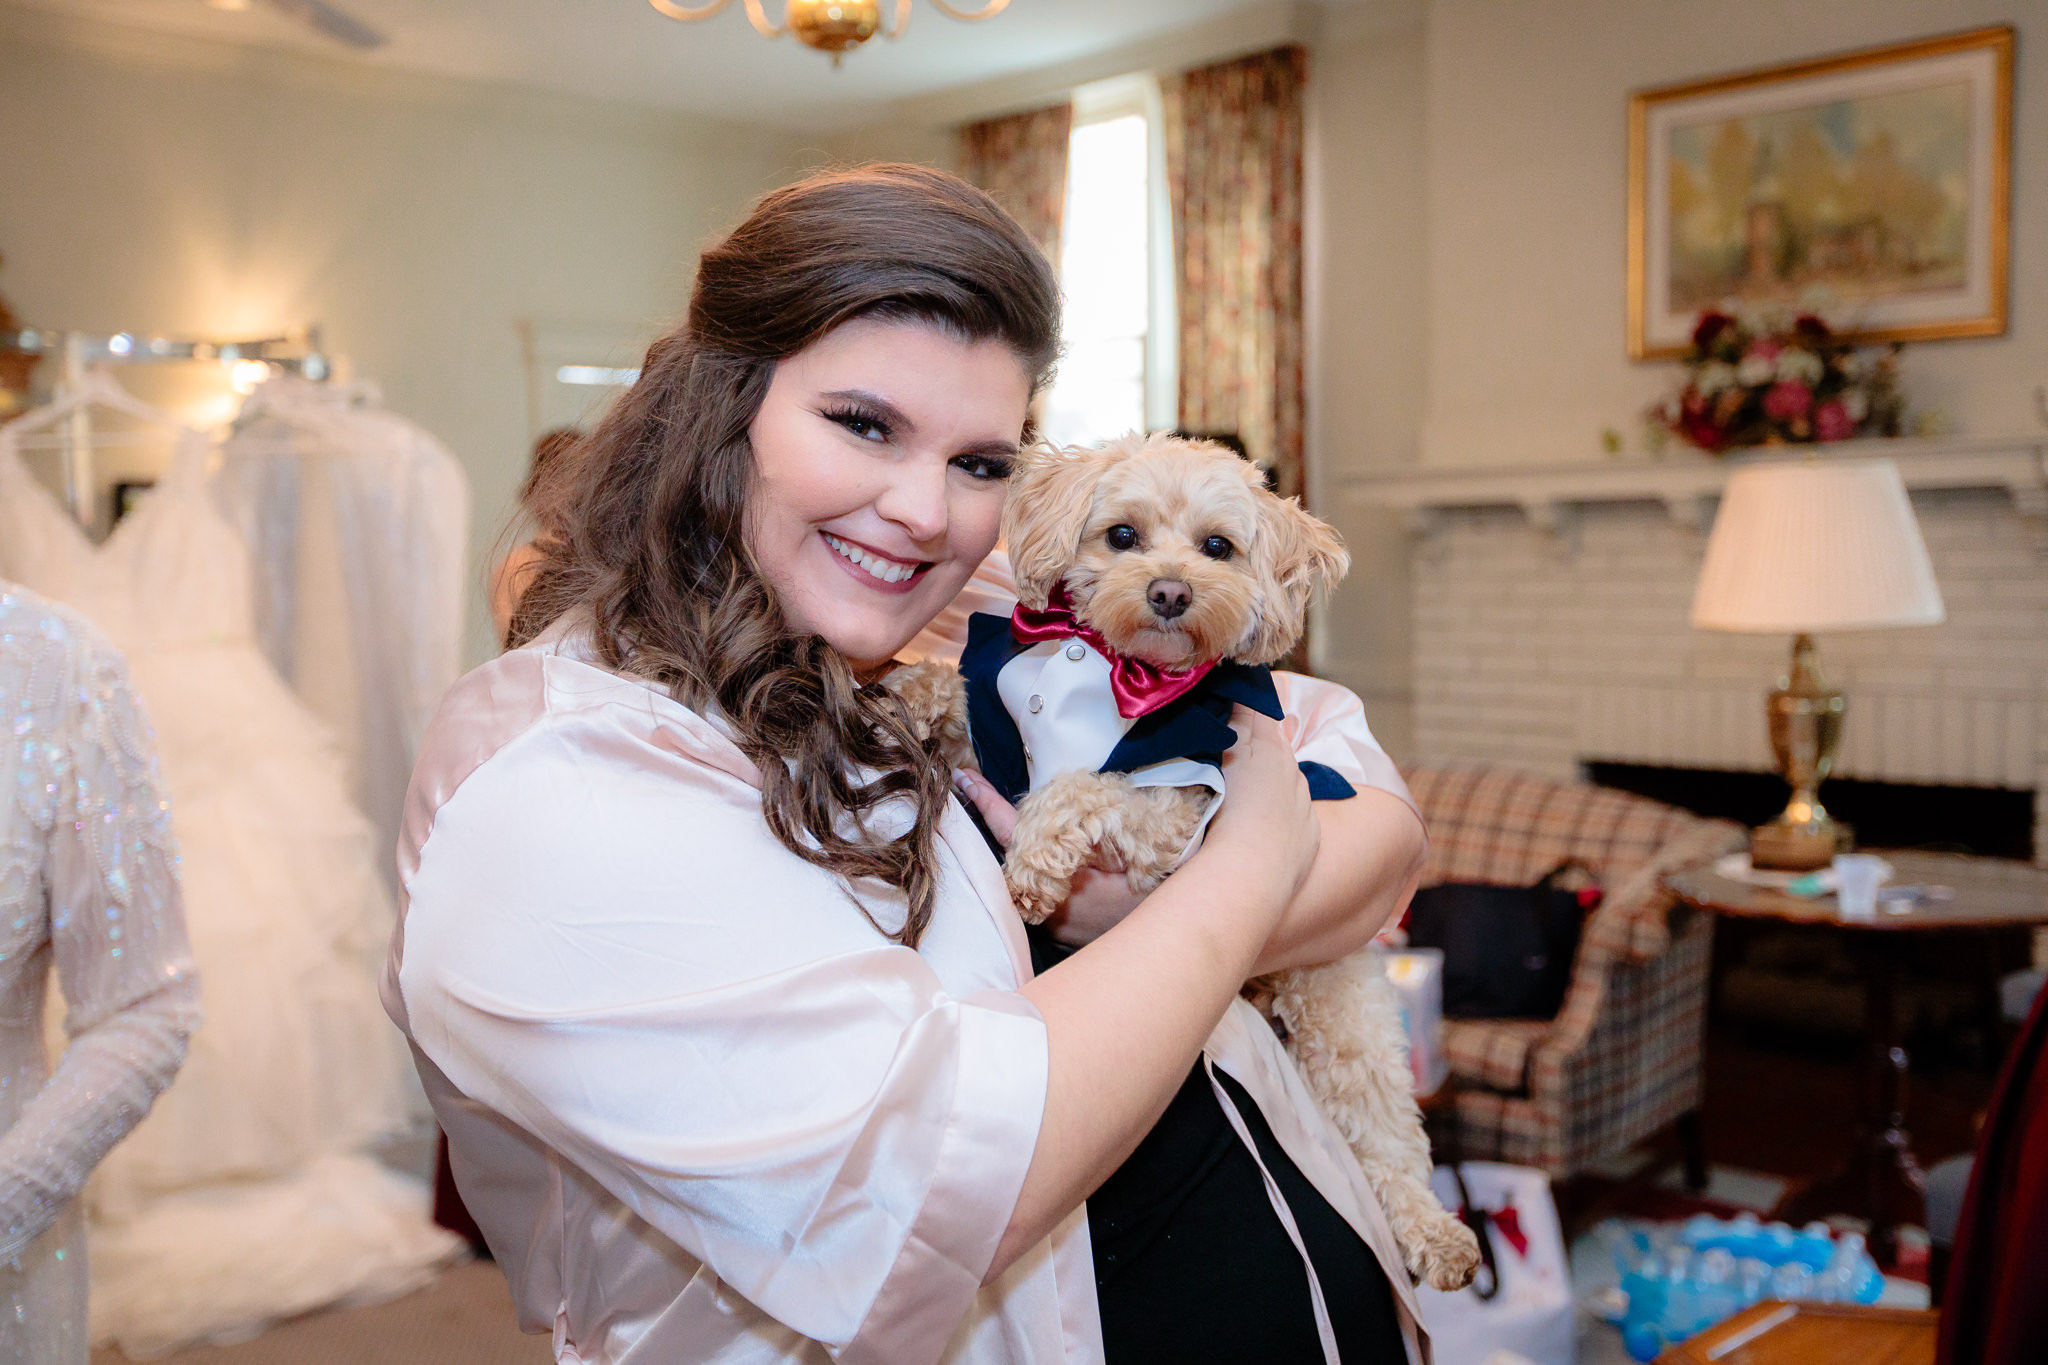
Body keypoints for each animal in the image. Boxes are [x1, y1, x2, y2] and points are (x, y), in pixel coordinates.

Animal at [888, 435, 1482, 1293]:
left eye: (1218, 547)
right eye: (1122, 535)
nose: (1170, 592)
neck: (1112, 667)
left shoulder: (1173, 811)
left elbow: (1081, 784)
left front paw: (1032, 861)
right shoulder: (995, 736)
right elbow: (959, 692)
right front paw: (898, 684)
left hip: (1344, 1020)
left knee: (1389, 1134)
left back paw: (1436, 1234)